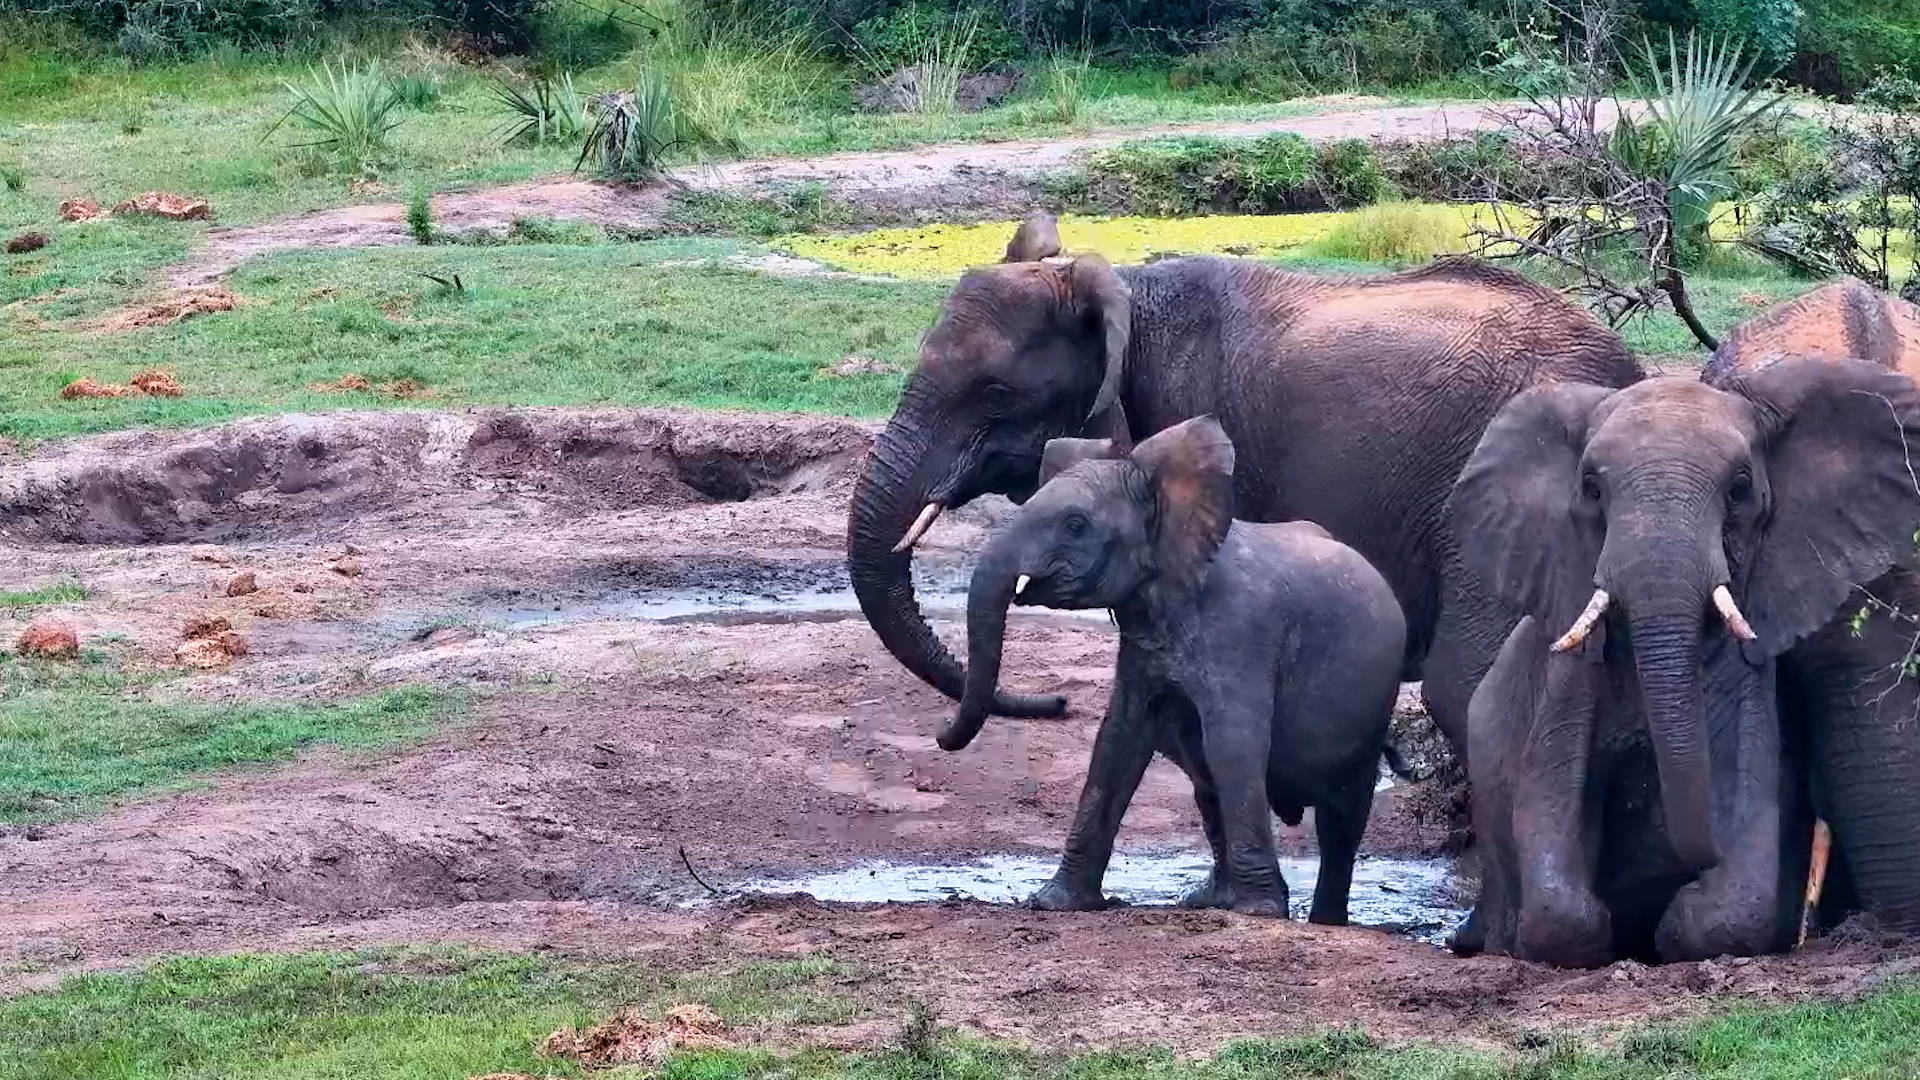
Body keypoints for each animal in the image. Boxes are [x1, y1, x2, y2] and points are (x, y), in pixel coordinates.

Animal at [947, 417, 1407, 922]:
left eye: (1075, 525)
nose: (942, 736)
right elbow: (1118, 740)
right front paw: (1054, 904)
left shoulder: (1242, 631)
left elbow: (1232, 744)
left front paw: (1260, 913)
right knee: (1206, 782)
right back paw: (1211, 901)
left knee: (1342, 815)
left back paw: (1321, 919)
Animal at [1445, 360, 1920, 967]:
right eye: (1591, 489)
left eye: (1739, 489)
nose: (1692, 857)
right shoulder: (1567, 675)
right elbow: (1552, 833)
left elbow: (1741, 887)